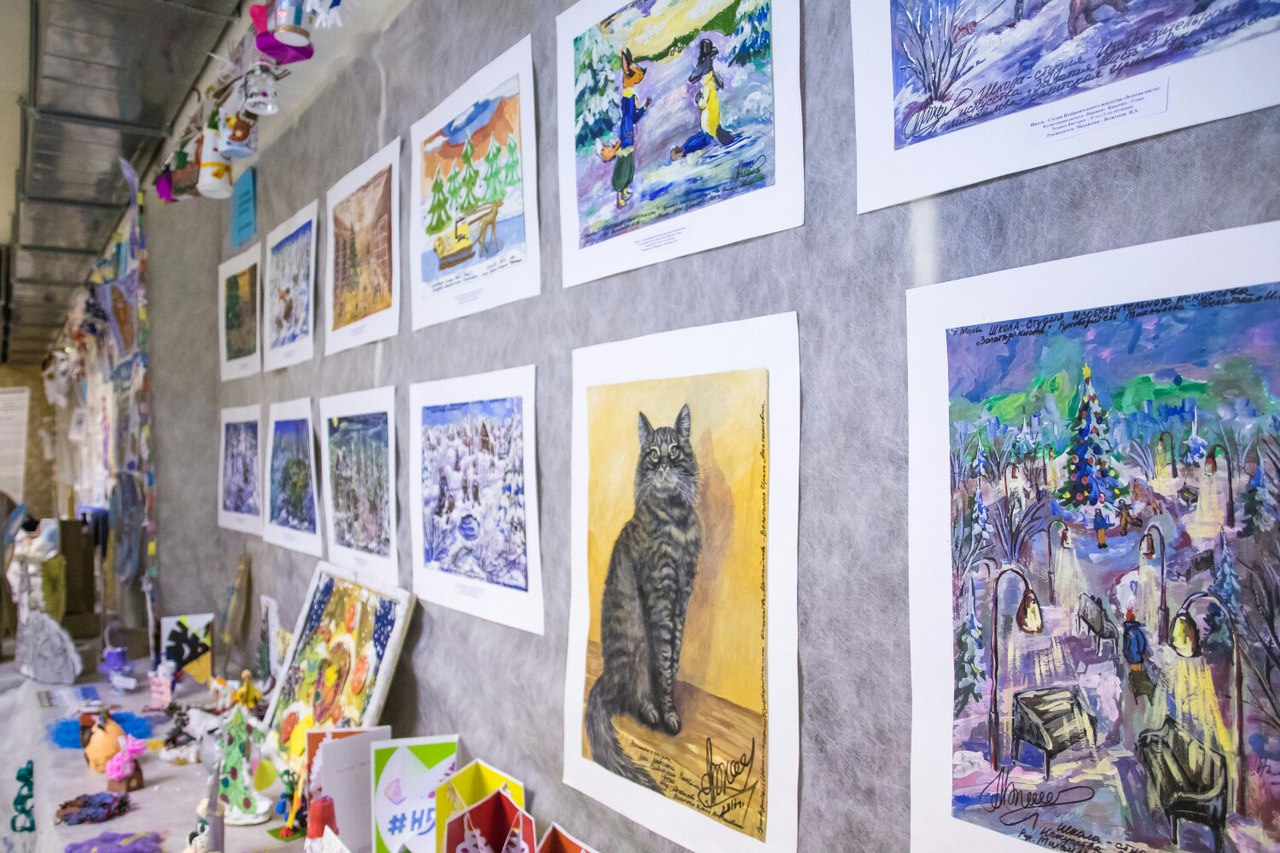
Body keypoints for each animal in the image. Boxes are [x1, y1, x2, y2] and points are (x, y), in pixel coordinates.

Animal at [586, 404, 702, 791]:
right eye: (653, 454)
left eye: (674, 451)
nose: (664, 465)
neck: (676, 521)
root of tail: (606, 677)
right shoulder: (660, 592)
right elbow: (663, 665)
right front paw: (666, 715)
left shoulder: (682, 595)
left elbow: (674, 659)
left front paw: (671, 710)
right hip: (634, 639)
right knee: (631, 694)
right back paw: (649, 712)